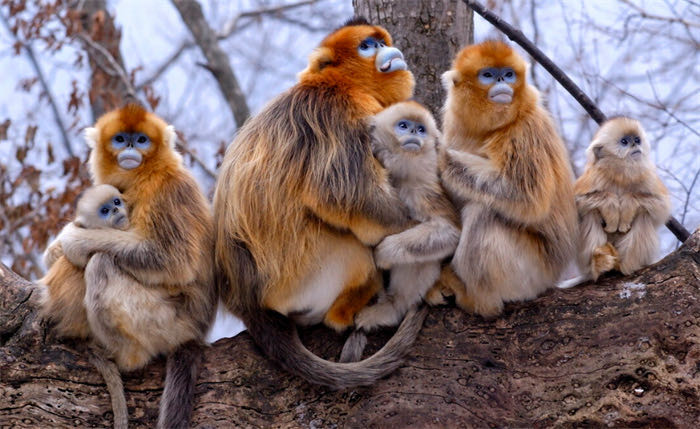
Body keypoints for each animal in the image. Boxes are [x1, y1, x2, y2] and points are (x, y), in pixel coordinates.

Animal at [56, 104, 217, 429]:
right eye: (120, 139)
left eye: (141, 140)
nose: (130, 147)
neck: (144, 175)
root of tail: (197, 332)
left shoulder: (167, 189)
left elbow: (173, 260)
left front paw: (71, 240)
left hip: (166, 322)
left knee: (101, 263)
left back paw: (125, 358)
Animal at [213, 17, 428, 389]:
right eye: (367, 46)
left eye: (381, 42)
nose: (388, 50)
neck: (335, 82)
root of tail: (247, 303)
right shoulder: (342, 110)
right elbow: (347, 195)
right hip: (301, 280)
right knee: (357, 251)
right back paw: (346, 311)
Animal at [338, 101, 460, 362]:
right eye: (403, 126)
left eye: (421, 129)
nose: (414, 132)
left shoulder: (422, 189)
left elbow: (449, 231)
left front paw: (383, 253)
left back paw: (394, 306)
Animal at [434, 40, 578, 318]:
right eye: (488, 74)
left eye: (509, 74)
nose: (502, 79)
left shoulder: (525, 131)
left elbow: (524, 195)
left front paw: (436, 152)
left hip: (531, 272)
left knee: (483, 213)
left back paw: (478, 299)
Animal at [574, 116, 671, 280]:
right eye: (624, 142)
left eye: (637, 140)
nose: (634, 145)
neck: (622, 173)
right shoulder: (595, 175)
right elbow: (575, 203)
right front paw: (611, 206)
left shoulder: (647, 175)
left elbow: (661, 207)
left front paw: (627, 205)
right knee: (590, 212)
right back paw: (599, 264)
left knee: (644, 214)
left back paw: (626, 266)